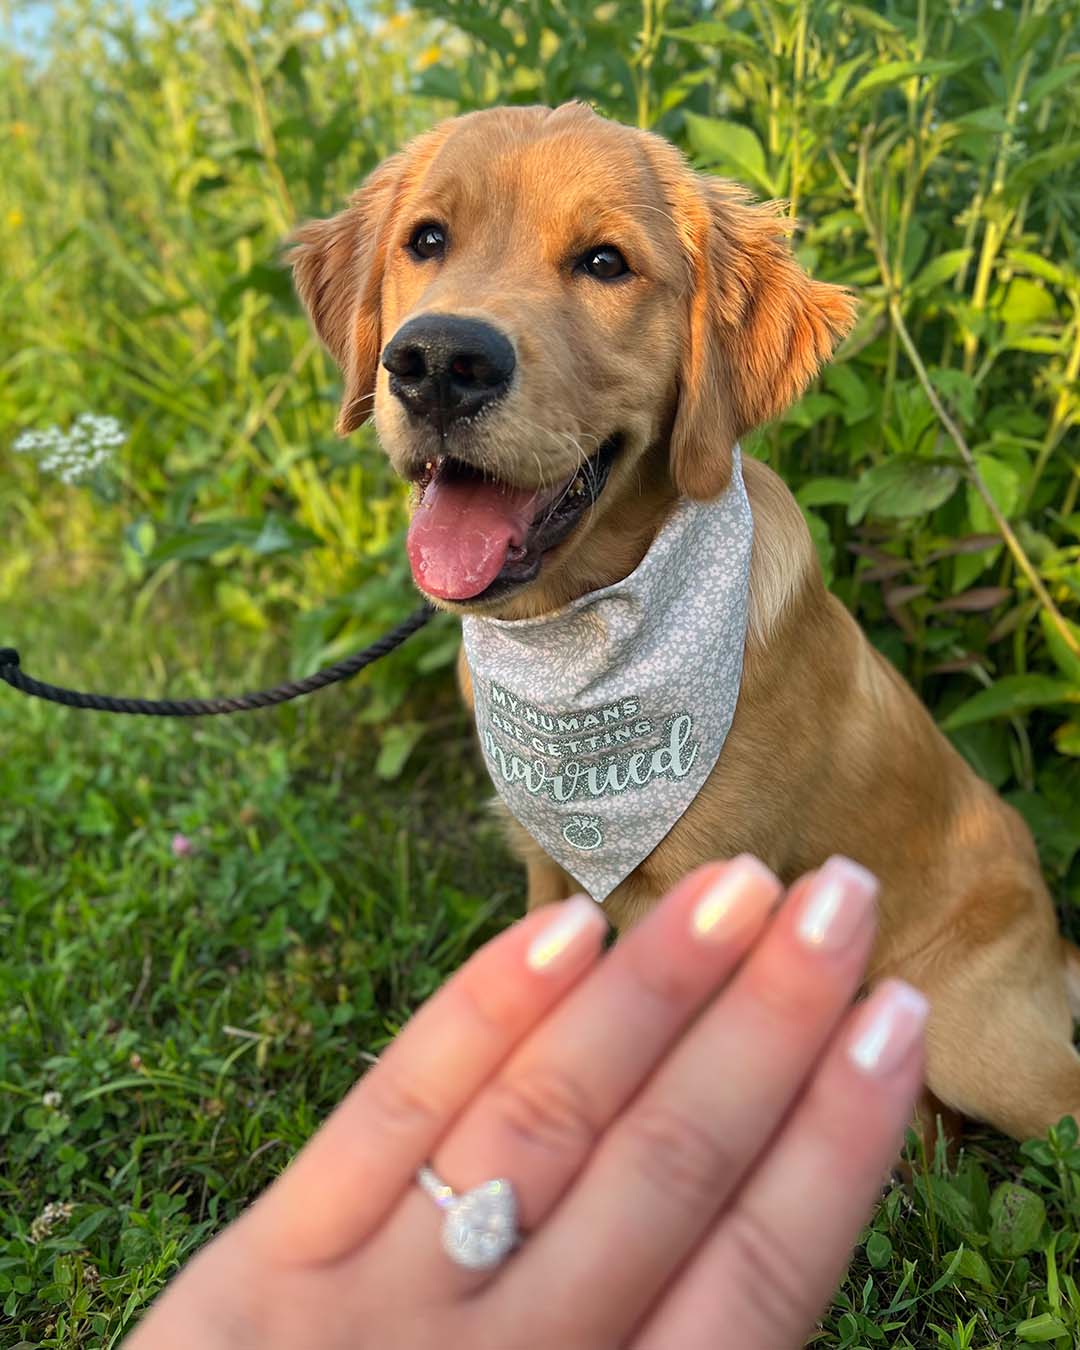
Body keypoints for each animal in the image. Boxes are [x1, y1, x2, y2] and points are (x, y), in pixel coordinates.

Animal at [288, 99, 1080, 1144]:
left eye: (605, 262)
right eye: (426, 240)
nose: (436, 364)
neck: (575, 634)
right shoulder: (549, 871)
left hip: (981, 1045)